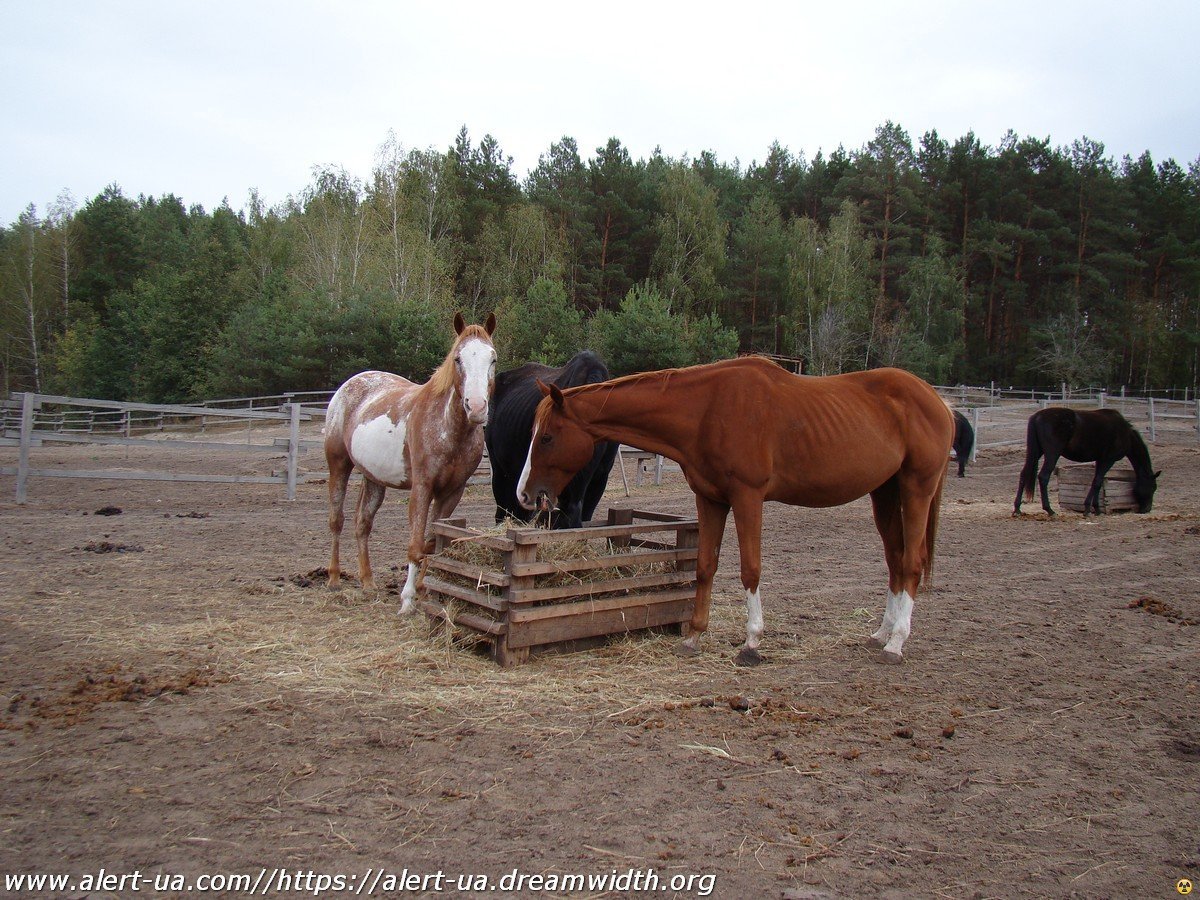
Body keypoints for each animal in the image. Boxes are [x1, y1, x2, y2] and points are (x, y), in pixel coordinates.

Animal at [321, 312, 494, 614]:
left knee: (362, 523)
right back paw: (333, 578)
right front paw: (408, 599)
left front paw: (425, 589)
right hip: (338, 465)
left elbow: (432, 541)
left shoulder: (452, 492)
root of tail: (351, 384)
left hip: (374, 479)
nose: (476, 407)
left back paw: (368, 582)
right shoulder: (422, 488)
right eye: (458, 359)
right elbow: (415, 543)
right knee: (336, 520)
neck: (448, 428)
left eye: (492, 359)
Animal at [516, 355, 955, 667]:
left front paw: (751, 642)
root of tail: (938, 401)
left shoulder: (748, 497)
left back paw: (896, 644)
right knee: (895, 560)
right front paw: (693, 637)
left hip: (916, 488)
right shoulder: (710, 500)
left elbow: (750, 569)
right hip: (885, 493)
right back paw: (881, 634)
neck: (707, 410)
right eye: (534, 433)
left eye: (549, 437)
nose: (524, 494)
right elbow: (705, 566)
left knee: (912, 562)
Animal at [1012, 408, 1161, 513]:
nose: (1147, 509)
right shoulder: (1108, 460)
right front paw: (1089, 509)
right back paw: (1049, 510)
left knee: (1024, 474)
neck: (1125, 434)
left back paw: (1017, 509)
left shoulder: (1100, 460)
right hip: (1052, 454)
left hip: (1037, 452)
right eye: (1153, 487)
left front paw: (1096, 508)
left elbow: (1098, 482)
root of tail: (1037, 416)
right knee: (1043, 477)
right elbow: (1097, 482)